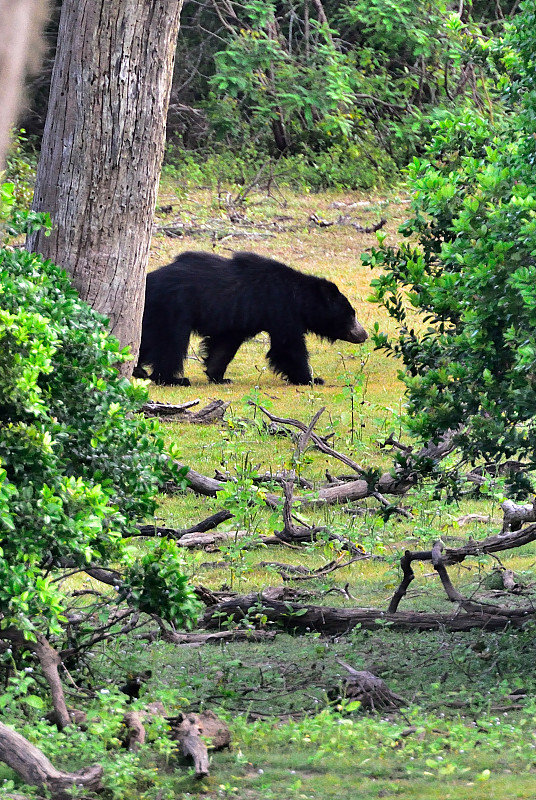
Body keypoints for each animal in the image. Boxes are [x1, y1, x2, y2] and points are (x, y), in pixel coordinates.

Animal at [136, 252, 366, 386]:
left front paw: (218, 376)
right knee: (170, 343)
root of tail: (148, 280)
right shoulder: (280, 309)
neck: (299, 298)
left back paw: (139, 370)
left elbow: (224, 345)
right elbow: (288, 346)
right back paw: (173, 379)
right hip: (173, 308)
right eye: (351, 314)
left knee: (144, 340)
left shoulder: (238, 317)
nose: (363, 334)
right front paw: (311, 379)